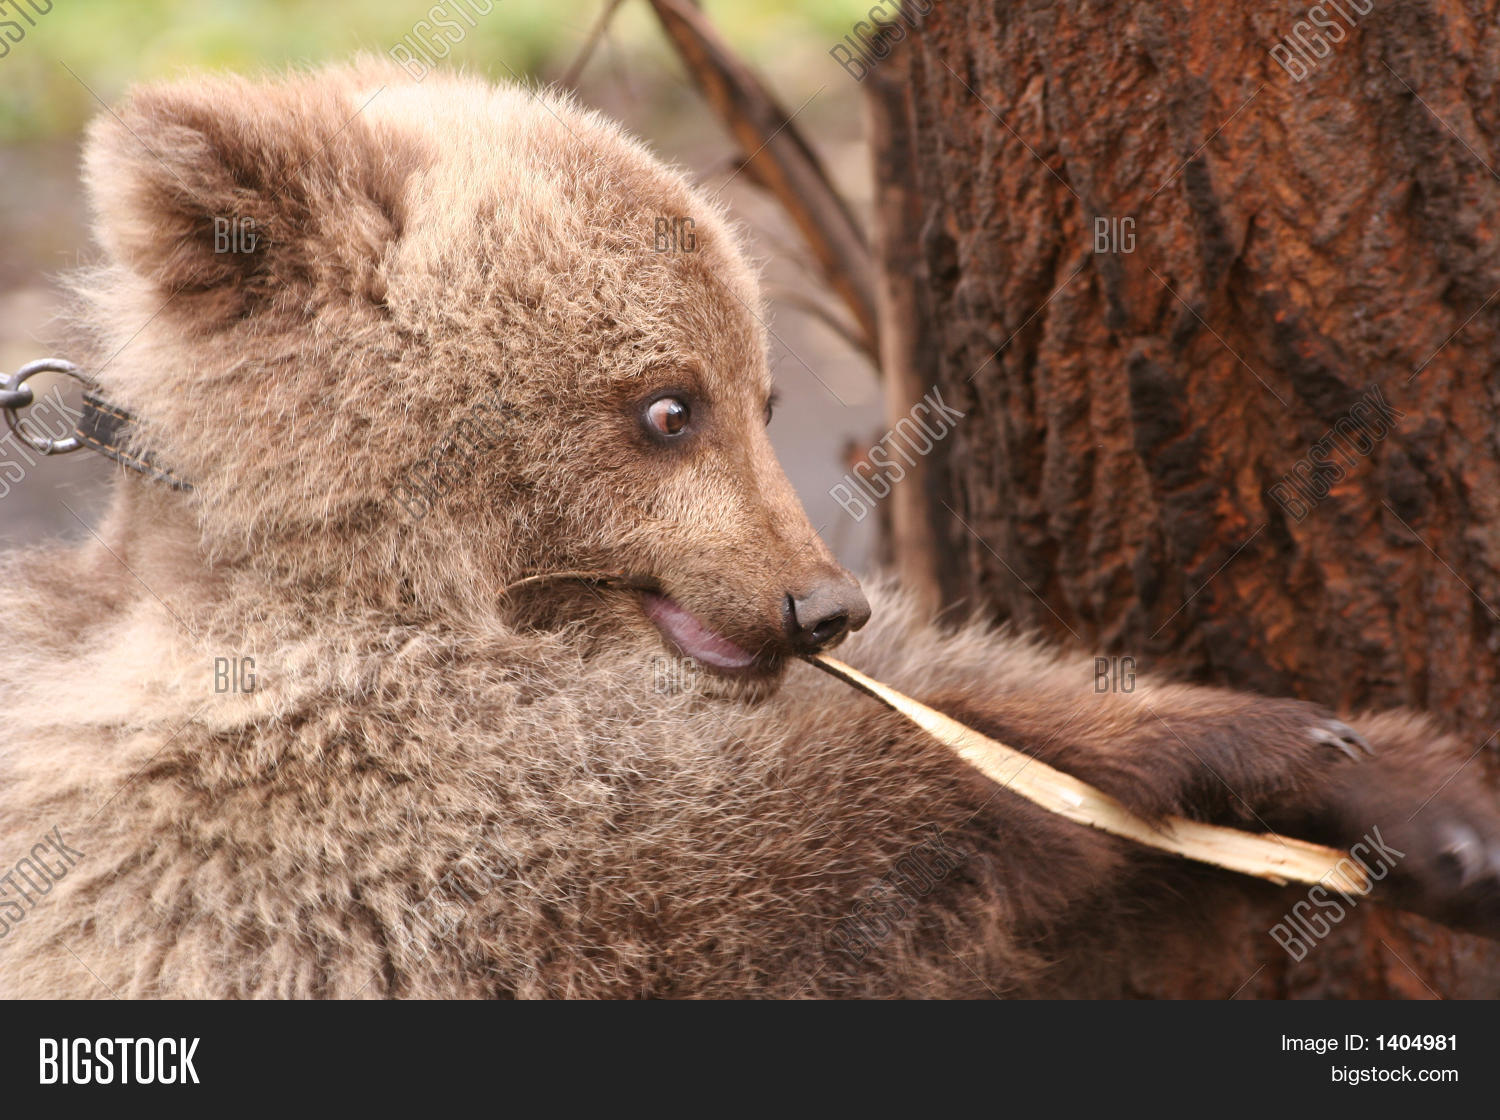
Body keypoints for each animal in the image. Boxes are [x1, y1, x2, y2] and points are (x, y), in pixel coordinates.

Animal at [0, 60, 1497, 998]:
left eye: (764, 393)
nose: (820, 603)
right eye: (669, 405)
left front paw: (1396, 792)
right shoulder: (323, 820)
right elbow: (778, 856)